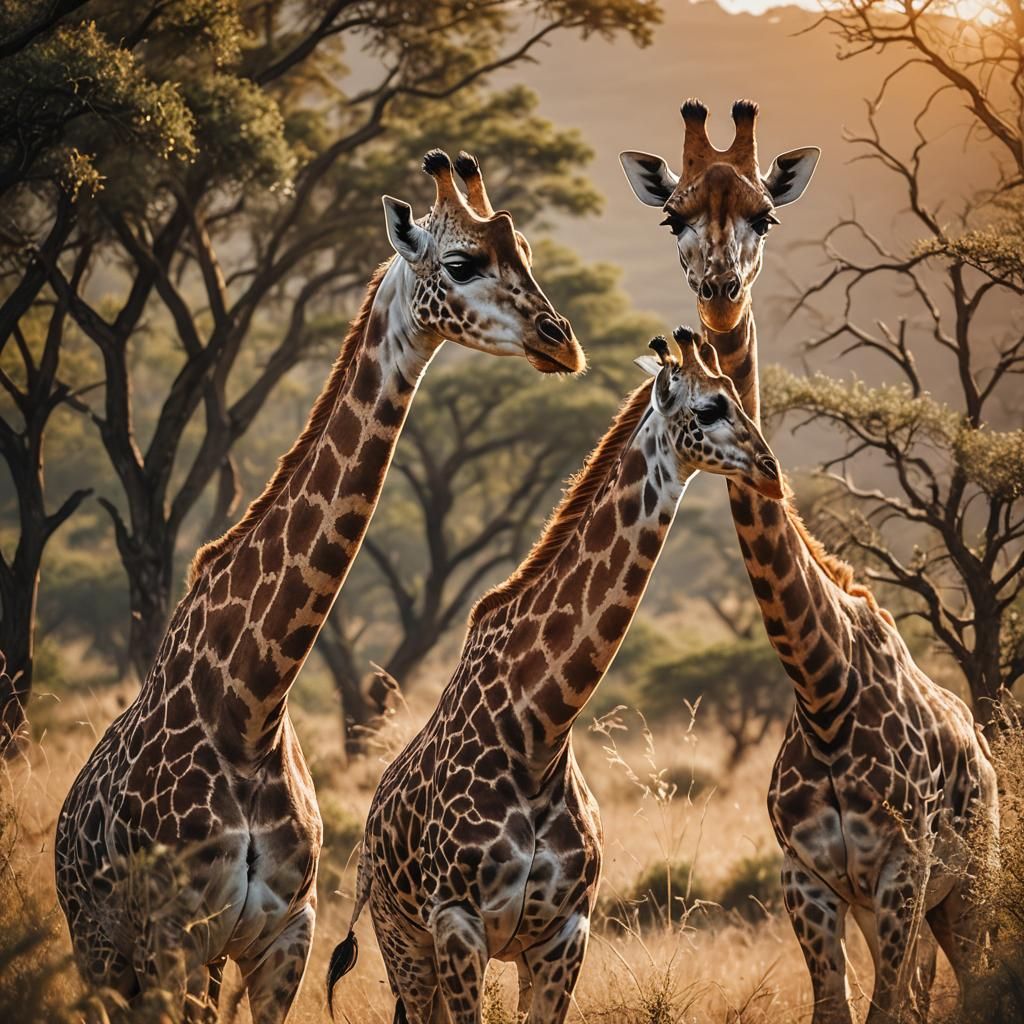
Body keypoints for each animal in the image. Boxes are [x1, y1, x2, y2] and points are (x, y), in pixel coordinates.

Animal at [54, 149, 586, 1024]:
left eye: (530, 254)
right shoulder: (176, 936)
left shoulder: (283, 937)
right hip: (102, 949)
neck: (249, 704)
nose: (561, 340)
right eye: (462, 263)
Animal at [326, 329, 785, 1024]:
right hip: (400, 938)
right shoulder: (458, 923)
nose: (771, 472)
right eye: (709, 409)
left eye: (737, 393)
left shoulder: (564, 932)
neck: (538, 733)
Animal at [621, 101, 1000, 1022]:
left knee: (966, 982)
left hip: (967, 890)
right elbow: (839, 1009)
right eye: (674, 214)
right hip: (901, 908)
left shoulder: (901, 874)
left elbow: (884, 1011)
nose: (719, 295)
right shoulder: (812, 882)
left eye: (765, 214)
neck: (821, 690)